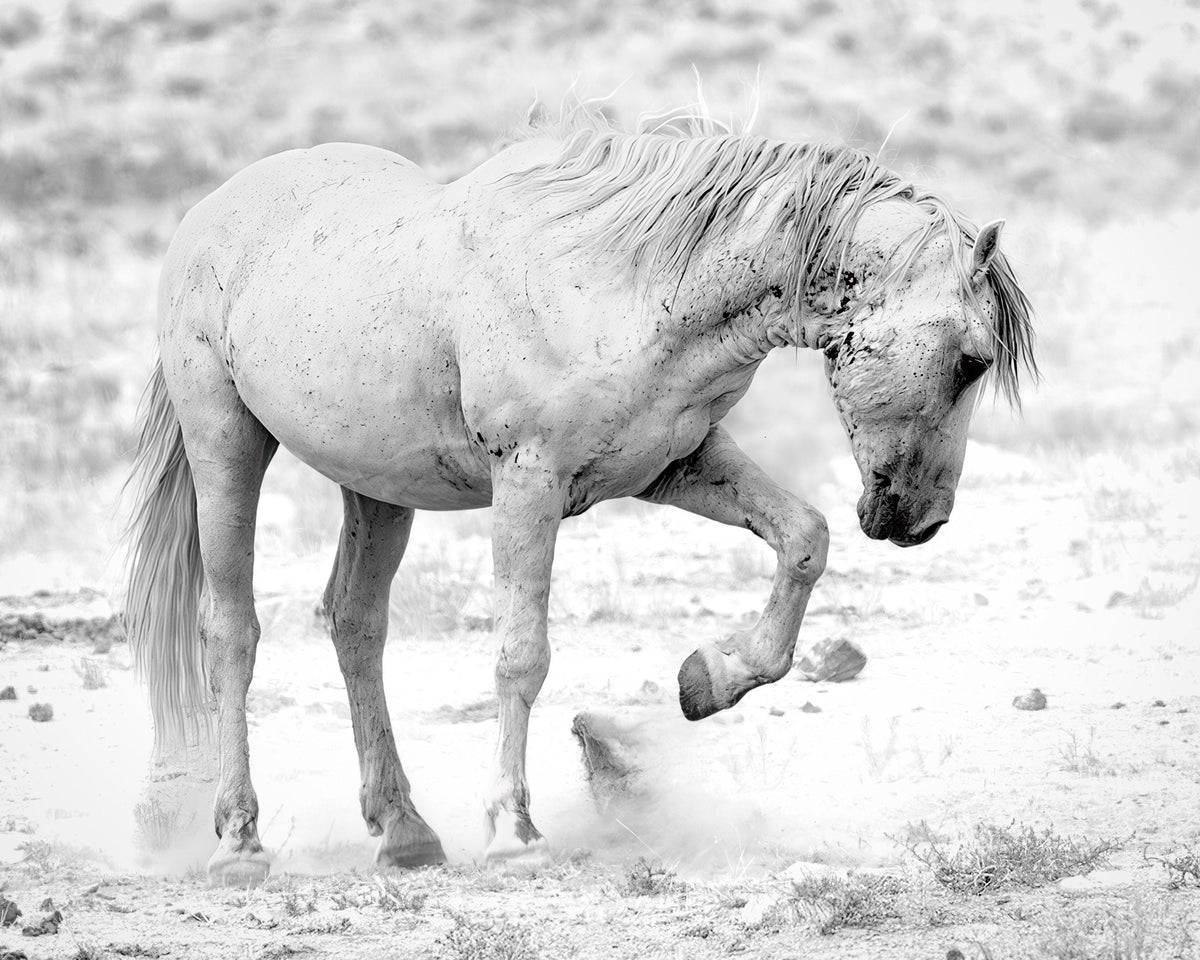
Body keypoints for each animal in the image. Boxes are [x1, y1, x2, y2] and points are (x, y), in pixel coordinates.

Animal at [120, 103, 1036, 885]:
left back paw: (404, 831)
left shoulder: (678, 465)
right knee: (231, 631)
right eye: (971, 361)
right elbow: (521, 656)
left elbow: (804, 538)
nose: (925, 521)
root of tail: (209, 212)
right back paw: (239, 841)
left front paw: (712, 678)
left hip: (376, 489)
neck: (624, 281)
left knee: (355, 626)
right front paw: (514, 833)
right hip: (226, 444)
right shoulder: (528, 483)